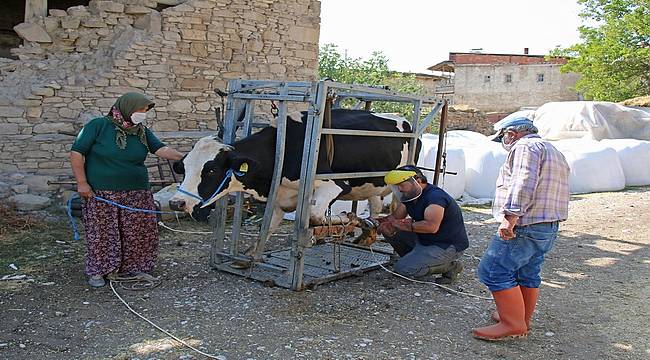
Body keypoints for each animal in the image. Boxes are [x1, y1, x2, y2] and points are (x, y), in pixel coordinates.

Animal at [167, 108, 420, 239]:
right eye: (185, 167)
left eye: (210, 170)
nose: (176, 202)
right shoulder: (279, 197)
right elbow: (267, 228)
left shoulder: (336, 185)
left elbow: (314, 216)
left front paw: (345, 219)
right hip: (372, 186)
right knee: (376, 208)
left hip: (401, 183)